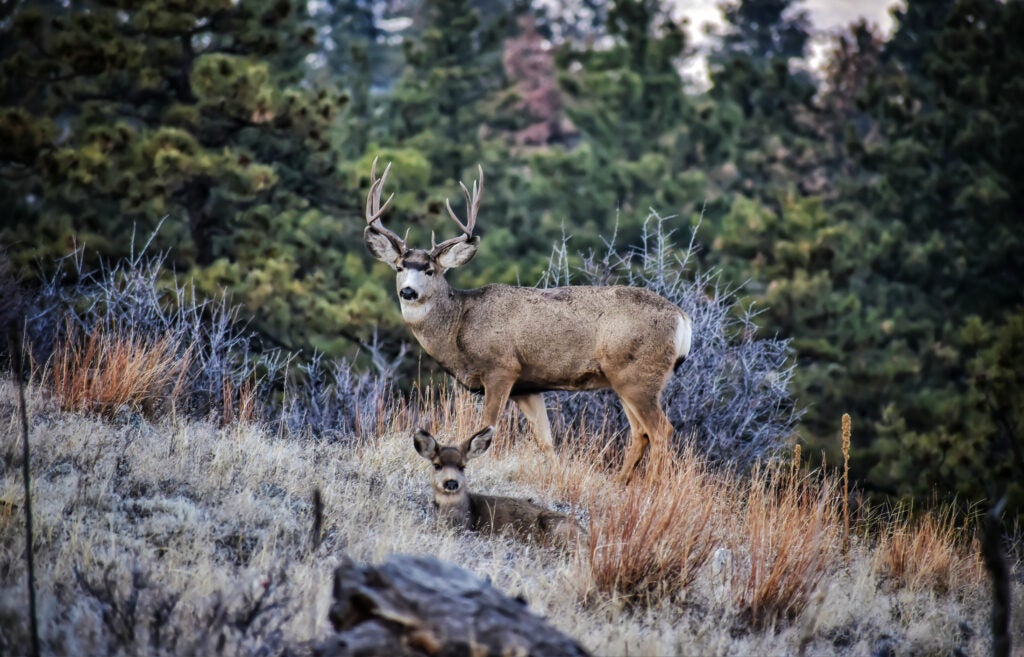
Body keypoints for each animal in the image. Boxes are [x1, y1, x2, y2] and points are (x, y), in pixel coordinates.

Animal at [364, 159, 692, 484]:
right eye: (399, 267)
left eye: (430, 270)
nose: (408, 291)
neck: (459, 325)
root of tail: (683, 318)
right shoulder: (528, 387)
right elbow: (545, 439)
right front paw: (557, 478)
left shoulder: (501, 368)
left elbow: (488, 428)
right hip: (623, 378)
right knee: (641, 433)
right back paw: (621, 484)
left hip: (638, 374)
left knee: (661, 431)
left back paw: (651, 486)